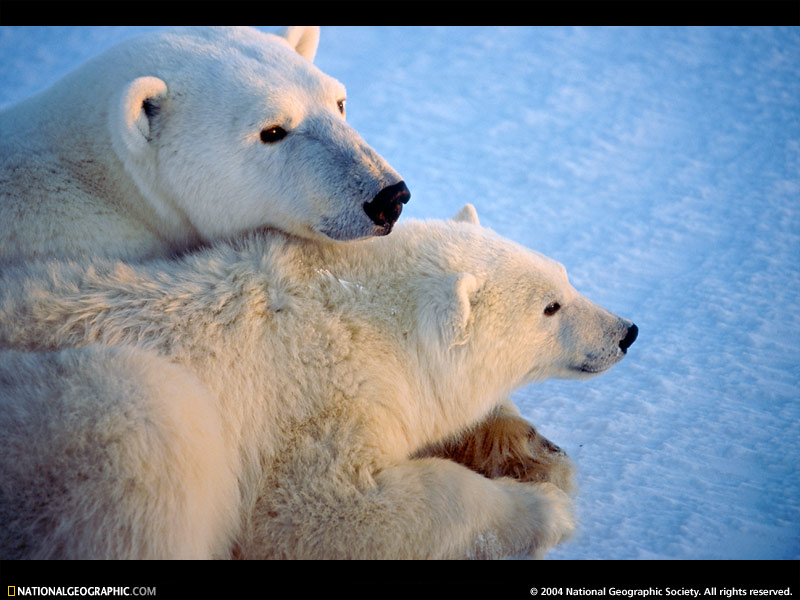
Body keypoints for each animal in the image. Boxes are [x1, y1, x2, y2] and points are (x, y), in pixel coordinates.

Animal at [0, 205, 636, 556]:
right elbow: (318, 513)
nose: (626, 331)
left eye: (564, 275)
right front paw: (545, 511)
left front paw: (536, 455)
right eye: (551, 307)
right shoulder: (311, 402)